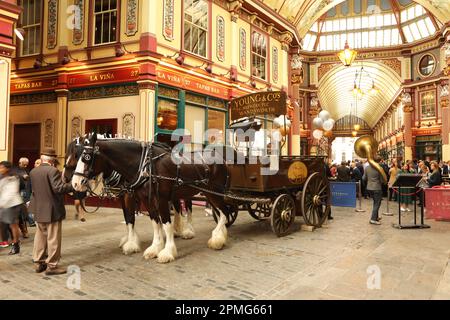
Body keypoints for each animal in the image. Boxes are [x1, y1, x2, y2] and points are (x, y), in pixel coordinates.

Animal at [72, 132, 234, 262]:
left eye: (86, 157)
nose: (75, 183)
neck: (145, 166)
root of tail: (221, 159)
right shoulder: (147, 200)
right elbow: (155, 223)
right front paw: (155, 247)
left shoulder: (160, 199)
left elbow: (166, 225)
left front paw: (167, 252)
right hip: (208, 194)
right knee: (221, 213)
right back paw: (220, 236)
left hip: (214, 192)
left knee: (224, 213)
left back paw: (216, 239)